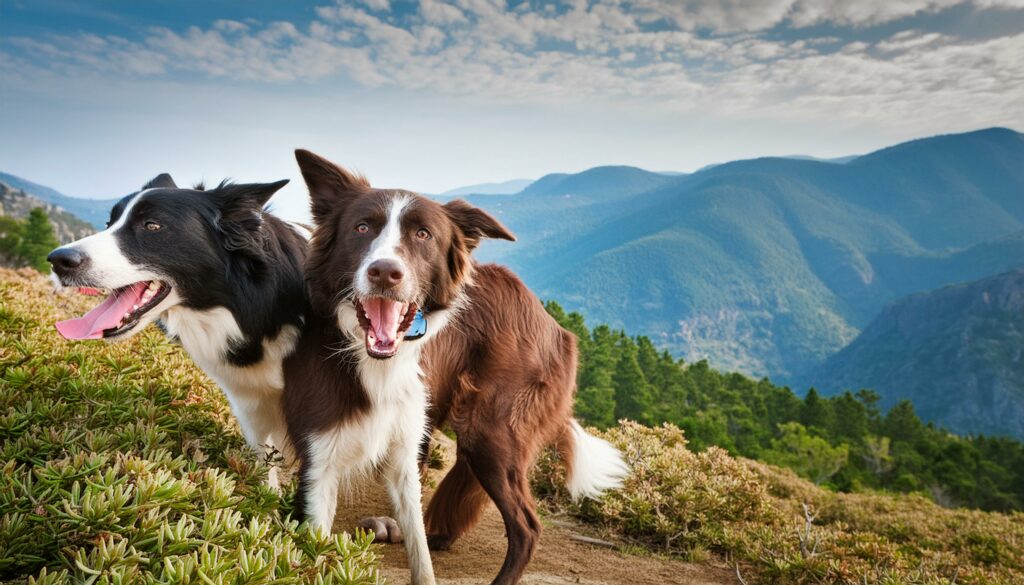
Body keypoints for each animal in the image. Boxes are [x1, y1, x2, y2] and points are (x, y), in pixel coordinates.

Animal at [48, 175, 305, 489]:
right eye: (109, 223)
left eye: (152, 226)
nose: (57, 260)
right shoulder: (251, 402)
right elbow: (266, 462)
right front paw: (269, 495)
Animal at [284, 149, 626, 585]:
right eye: (361, 228)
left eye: (423, 235)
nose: (385, 272)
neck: (370, 360)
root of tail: (556, 327)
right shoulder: (322, 458)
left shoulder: (393, 446)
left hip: (491, 430)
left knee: (527, 527)